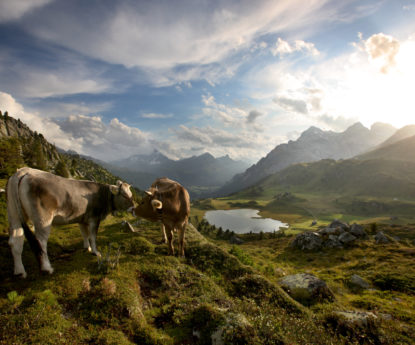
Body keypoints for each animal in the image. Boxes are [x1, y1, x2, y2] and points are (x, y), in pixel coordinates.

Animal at [6, 167, 135, 276]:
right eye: (124, 195)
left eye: (131, 195)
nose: (133, 208)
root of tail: (24, 171)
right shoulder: (94, 218)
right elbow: (93, 236)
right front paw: (95, 251)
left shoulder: (82, 219)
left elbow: (84, 234)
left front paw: (86, 248)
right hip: (43, 219)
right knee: (40, 242)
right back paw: (47, 268)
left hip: (14, 214)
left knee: (15, 241)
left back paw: (19, 272)